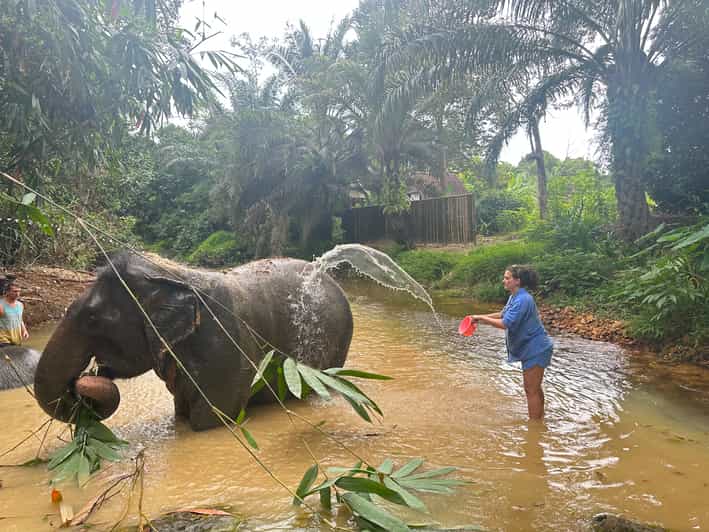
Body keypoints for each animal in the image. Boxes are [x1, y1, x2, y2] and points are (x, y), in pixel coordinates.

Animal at [34, 251, 353, 431]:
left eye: (92, 318)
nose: (82, 379)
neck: (173, 273)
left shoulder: (228, 353)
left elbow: (209, 420)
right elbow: (180, 412)